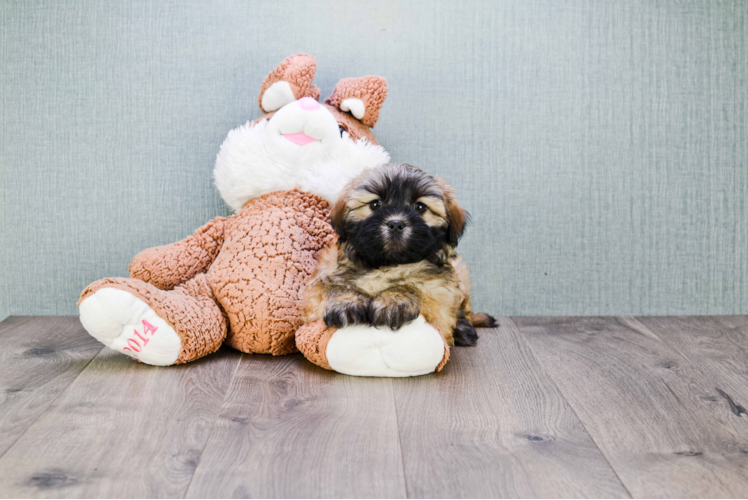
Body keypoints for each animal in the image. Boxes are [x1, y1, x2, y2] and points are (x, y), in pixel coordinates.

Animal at [304, 162, 496, 346]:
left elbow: (414, 287)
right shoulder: (318, 284)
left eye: (420, 207)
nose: (396, 223)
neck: (387, 264)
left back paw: (464, 330)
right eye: (376, 204)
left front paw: (394, 300)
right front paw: (346, 301)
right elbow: (335, 287)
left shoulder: (440, 298)